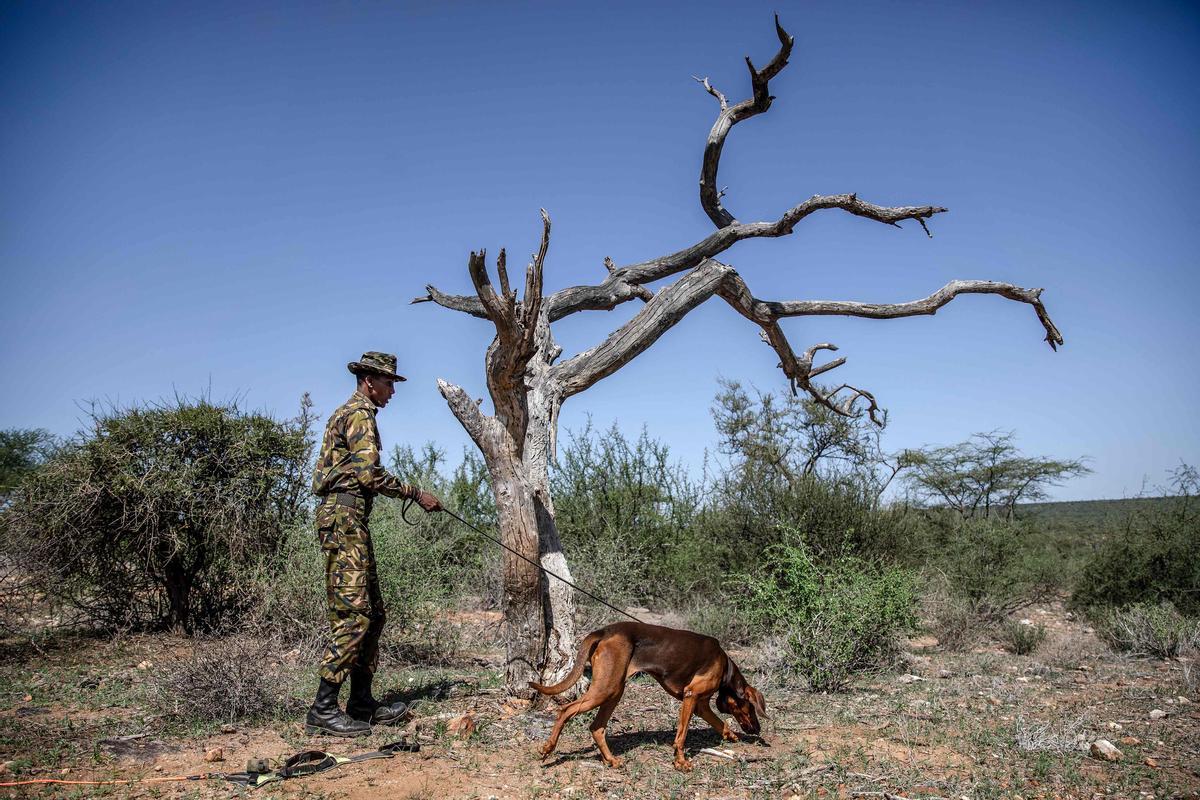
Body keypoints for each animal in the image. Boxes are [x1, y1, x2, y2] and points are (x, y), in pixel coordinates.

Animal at [528, 623, 768, 772]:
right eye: (752, 707)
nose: (757, 730)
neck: (725, 667)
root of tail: (605, 631)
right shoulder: (691, 696)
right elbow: (681, 736)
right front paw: (681, 763)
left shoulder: (700, 704)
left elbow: (720, 722)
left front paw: (731, 735)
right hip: (605, 689)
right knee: (566, 710)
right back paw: (548, 748)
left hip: (615, 690)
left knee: (596, 727)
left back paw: (611, 760)